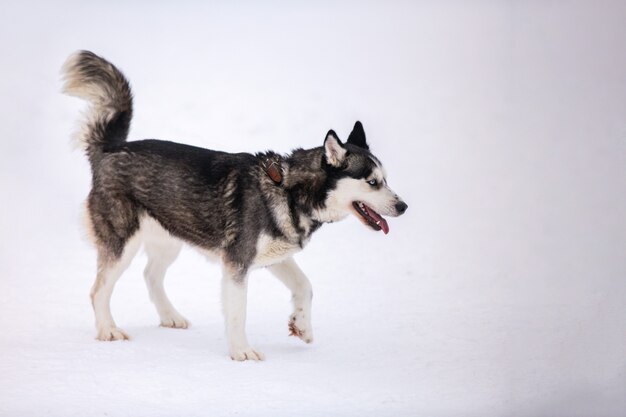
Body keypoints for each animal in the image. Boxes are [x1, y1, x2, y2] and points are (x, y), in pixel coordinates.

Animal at [61, 50, 408, 360]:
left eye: (386, 179)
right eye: (372, 182)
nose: (404, 206)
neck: (288, 190)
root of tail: (111, 148)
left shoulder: (276, 256)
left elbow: (306, 286)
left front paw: (302, 326)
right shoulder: (237, 264)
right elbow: (239, 312)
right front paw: (241, 352)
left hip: (170, 236)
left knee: (151, 276)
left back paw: (170, 316)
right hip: (123, 242)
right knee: (98, 290)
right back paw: (108, 330)